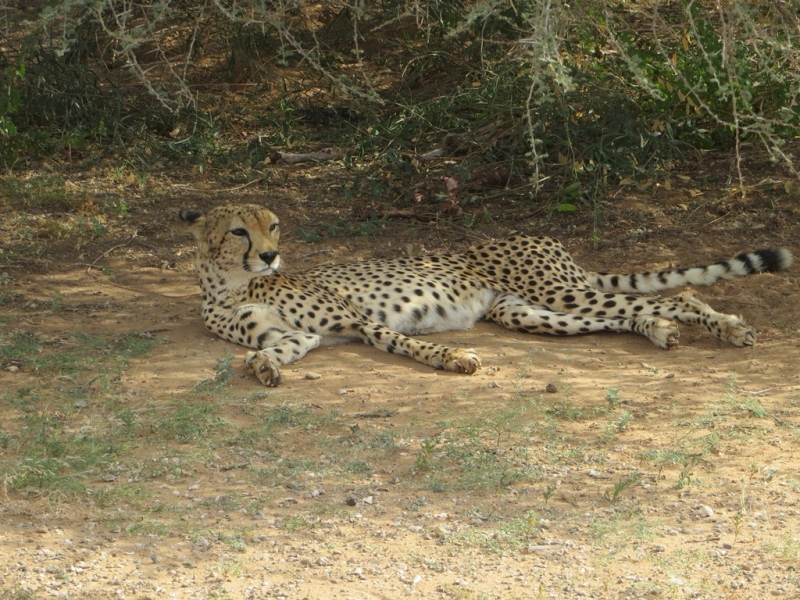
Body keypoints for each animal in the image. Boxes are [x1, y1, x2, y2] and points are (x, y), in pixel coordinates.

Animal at [181, 204, 792, 386]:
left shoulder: (356, 319)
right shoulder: (300, 335)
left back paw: (727, 327)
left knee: (679, 295)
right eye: (238, 231)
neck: (232, 285)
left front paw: (454, 358)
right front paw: (263, 368)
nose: (270, 255)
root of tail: (539, 236)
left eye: (273, 227)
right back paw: (661, 331)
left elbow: (404, 343)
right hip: (532, 313)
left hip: (560, 292)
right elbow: (273, 349)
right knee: (632, 314)